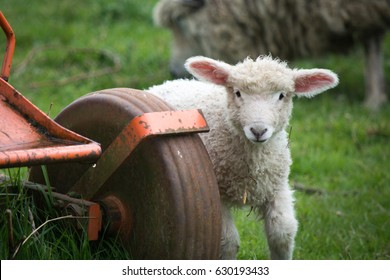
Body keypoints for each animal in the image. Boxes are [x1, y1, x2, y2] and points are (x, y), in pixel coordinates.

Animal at [146, 55, 338, 260]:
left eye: (281, 95)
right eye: (238, 93)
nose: (258, 130)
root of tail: (166, 84)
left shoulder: (276, 186)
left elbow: (282, 233)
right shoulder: (216, 195)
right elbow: (228, 242)